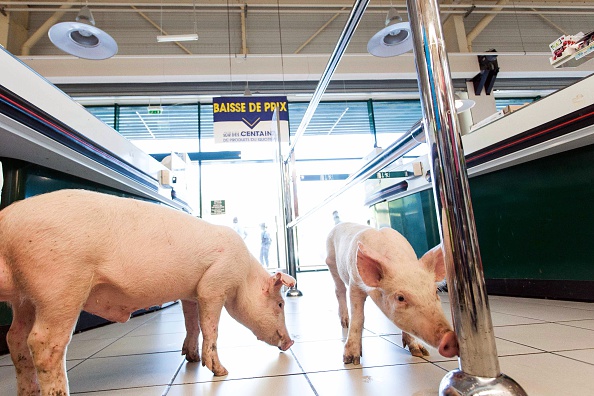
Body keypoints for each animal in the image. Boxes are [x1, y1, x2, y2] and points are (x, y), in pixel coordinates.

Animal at [0, 190, 294, 394]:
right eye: (280, 304)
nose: (291, 343)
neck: (243, 274)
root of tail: (7, 222)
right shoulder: (213, 285)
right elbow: (210, 328)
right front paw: (221, 372)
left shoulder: (190, 293)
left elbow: (192, 324)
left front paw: (191, 358)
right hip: (60, 286)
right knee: (43, 343)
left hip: (25, 299)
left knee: (15, 339)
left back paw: (28, 392)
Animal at [324, 221, 458, 364]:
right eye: (400, 298)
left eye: (435, 292)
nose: (450, 337)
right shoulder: (355, 282)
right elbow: (358, 317)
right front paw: (351, 360)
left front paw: (420, 352)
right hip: (331, 262)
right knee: (339, 290)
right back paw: (345, 323)